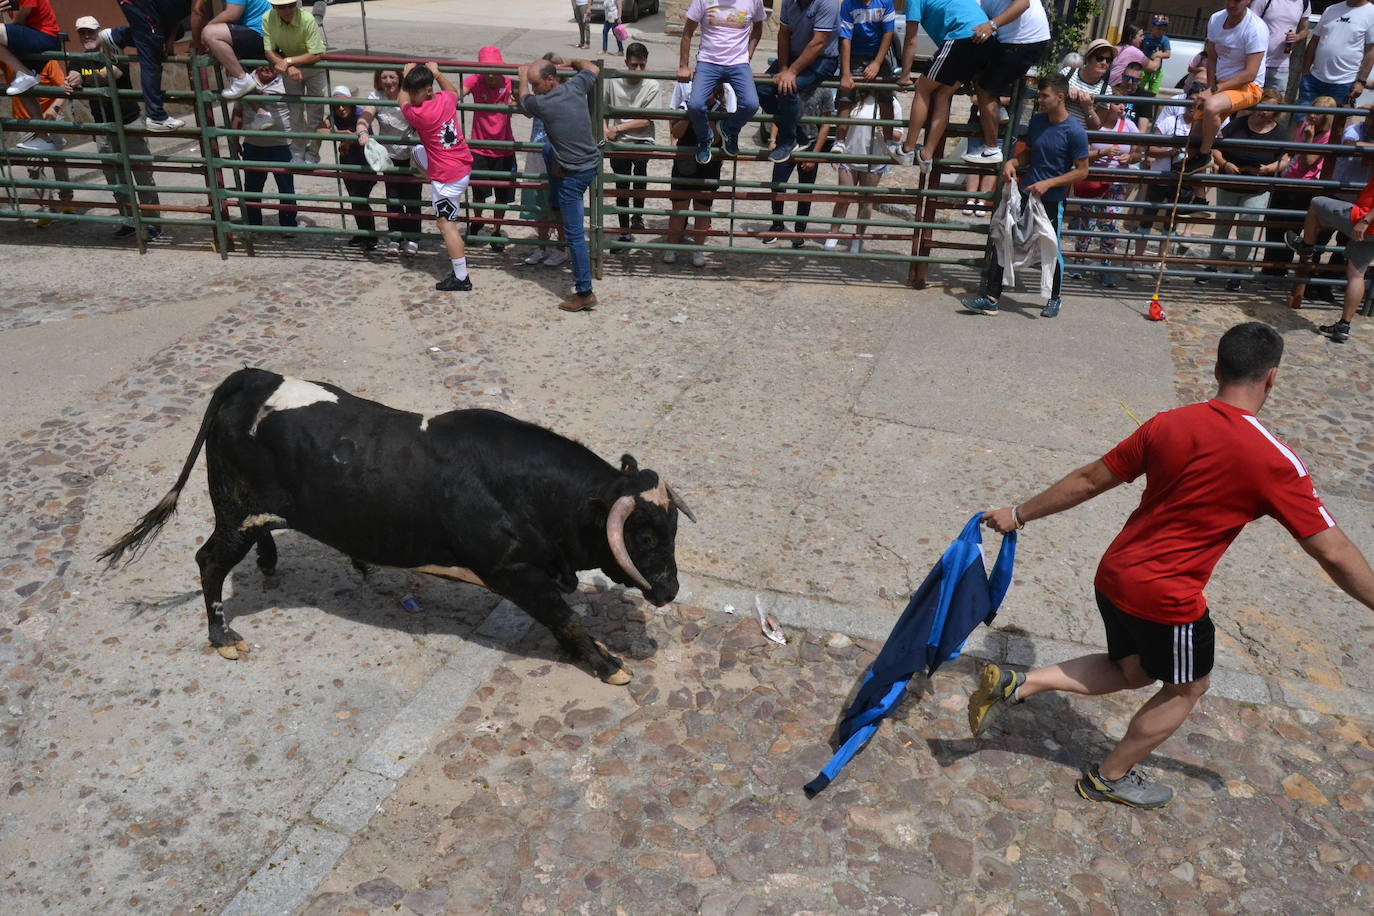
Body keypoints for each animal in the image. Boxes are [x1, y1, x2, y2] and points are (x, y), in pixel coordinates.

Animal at [99, 368, 697, 683]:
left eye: (673, 531)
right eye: (645, 536)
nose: (670, 589)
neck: (530, 491)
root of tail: (251, 377)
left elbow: (563, 619)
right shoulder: (515, 572)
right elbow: (566, 618)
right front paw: (605, 662)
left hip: (248, 512)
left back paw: (270, 563)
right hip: (232, 513)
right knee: (208, 562)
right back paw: (223, 637)